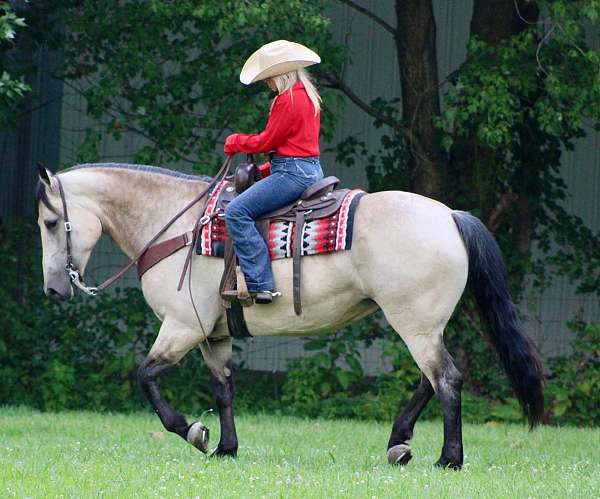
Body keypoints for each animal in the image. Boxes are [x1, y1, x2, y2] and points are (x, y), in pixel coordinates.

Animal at [35, 162, 548, 470]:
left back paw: (448, 459)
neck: (176, 226)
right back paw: (399, 443)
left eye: (49, 222)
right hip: (422, 324)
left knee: (446, 380)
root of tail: (449, 216)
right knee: (431, 379)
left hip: (416, 325)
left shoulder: (182, 327)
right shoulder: (212, 336)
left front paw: (193, 432)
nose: (54, 289)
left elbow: (144, 376)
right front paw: (226, 448)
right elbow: (224, 390)